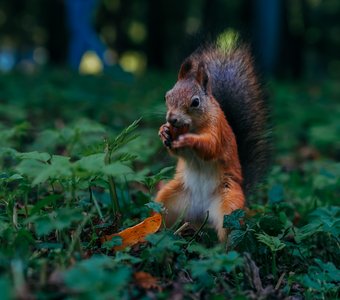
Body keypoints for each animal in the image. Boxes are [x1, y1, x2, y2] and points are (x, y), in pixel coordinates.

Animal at [155, 37, 270, 241]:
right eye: (167, 96)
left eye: (195, 102)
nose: (171, 119)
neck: (193, 125)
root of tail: (202, 214)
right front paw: (164, 131)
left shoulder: (217, 130)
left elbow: (211, 147)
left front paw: (189, 139)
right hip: (169, 200)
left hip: (229, 207)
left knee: (228, 234)